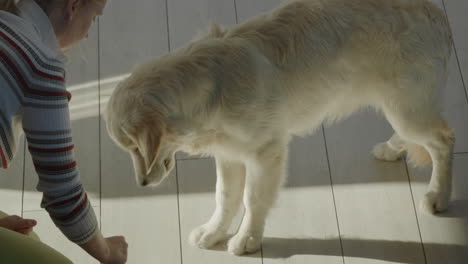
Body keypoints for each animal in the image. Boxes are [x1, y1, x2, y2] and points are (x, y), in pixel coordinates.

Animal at [105, 0, 454, 256]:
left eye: (136, 147)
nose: (142, 184)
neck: (210, 83)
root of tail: (437, 14)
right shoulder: (228, 154)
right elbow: (224, 196)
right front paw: (213, 231)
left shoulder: (265, 152)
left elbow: (253, 198)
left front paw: (246, 239)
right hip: (402, 106)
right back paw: (391, 149)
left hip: (405, 107)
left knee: (443, 139)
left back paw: (437, 196)